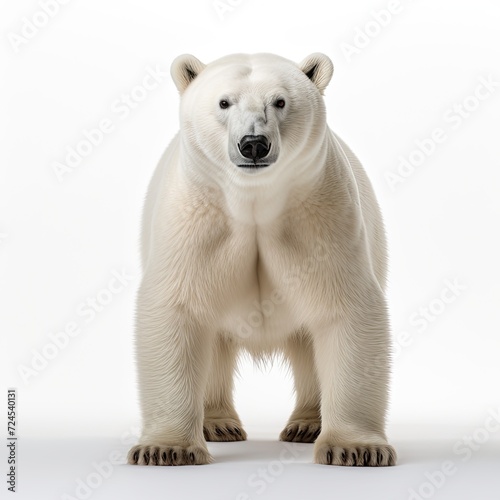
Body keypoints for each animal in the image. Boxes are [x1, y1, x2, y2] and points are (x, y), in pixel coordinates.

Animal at [127, 52, 396, 466]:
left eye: (280, 101)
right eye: (224, 102)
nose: (253, 144)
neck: (253, 199)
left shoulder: (319, 216)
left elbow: (343, 309)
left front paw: (356, 448)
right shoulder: (198, 221)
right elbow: (178, 309)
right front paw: (165, 449)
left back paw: (306, 425)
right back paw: (219, 424)